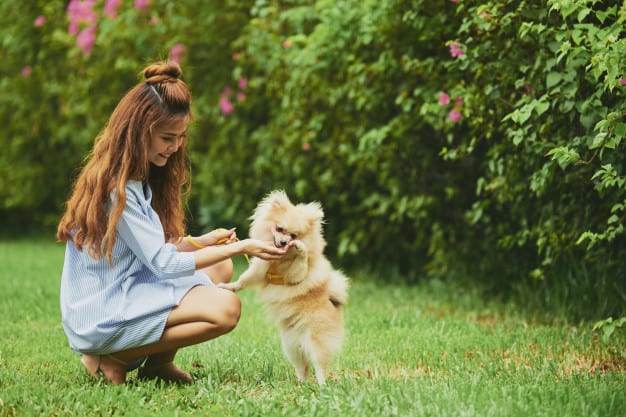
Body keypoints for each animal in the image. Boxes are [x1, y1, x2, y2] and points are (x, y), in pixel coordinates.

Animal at [218, 188, 346, 384]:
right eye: (280, 229)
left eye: (293, 235)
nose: (285, 242)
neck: (278, 261)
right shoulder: (260, 268)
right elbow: (244, 279)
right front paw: (230, 287)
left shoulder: (296, 275)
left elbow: (300, 264)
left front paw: (301, 249)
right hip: (290, 345)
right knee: (302, 367)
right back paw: (301, 383)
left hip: (316, 340)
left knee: (319, 366)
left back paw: (322, 385)